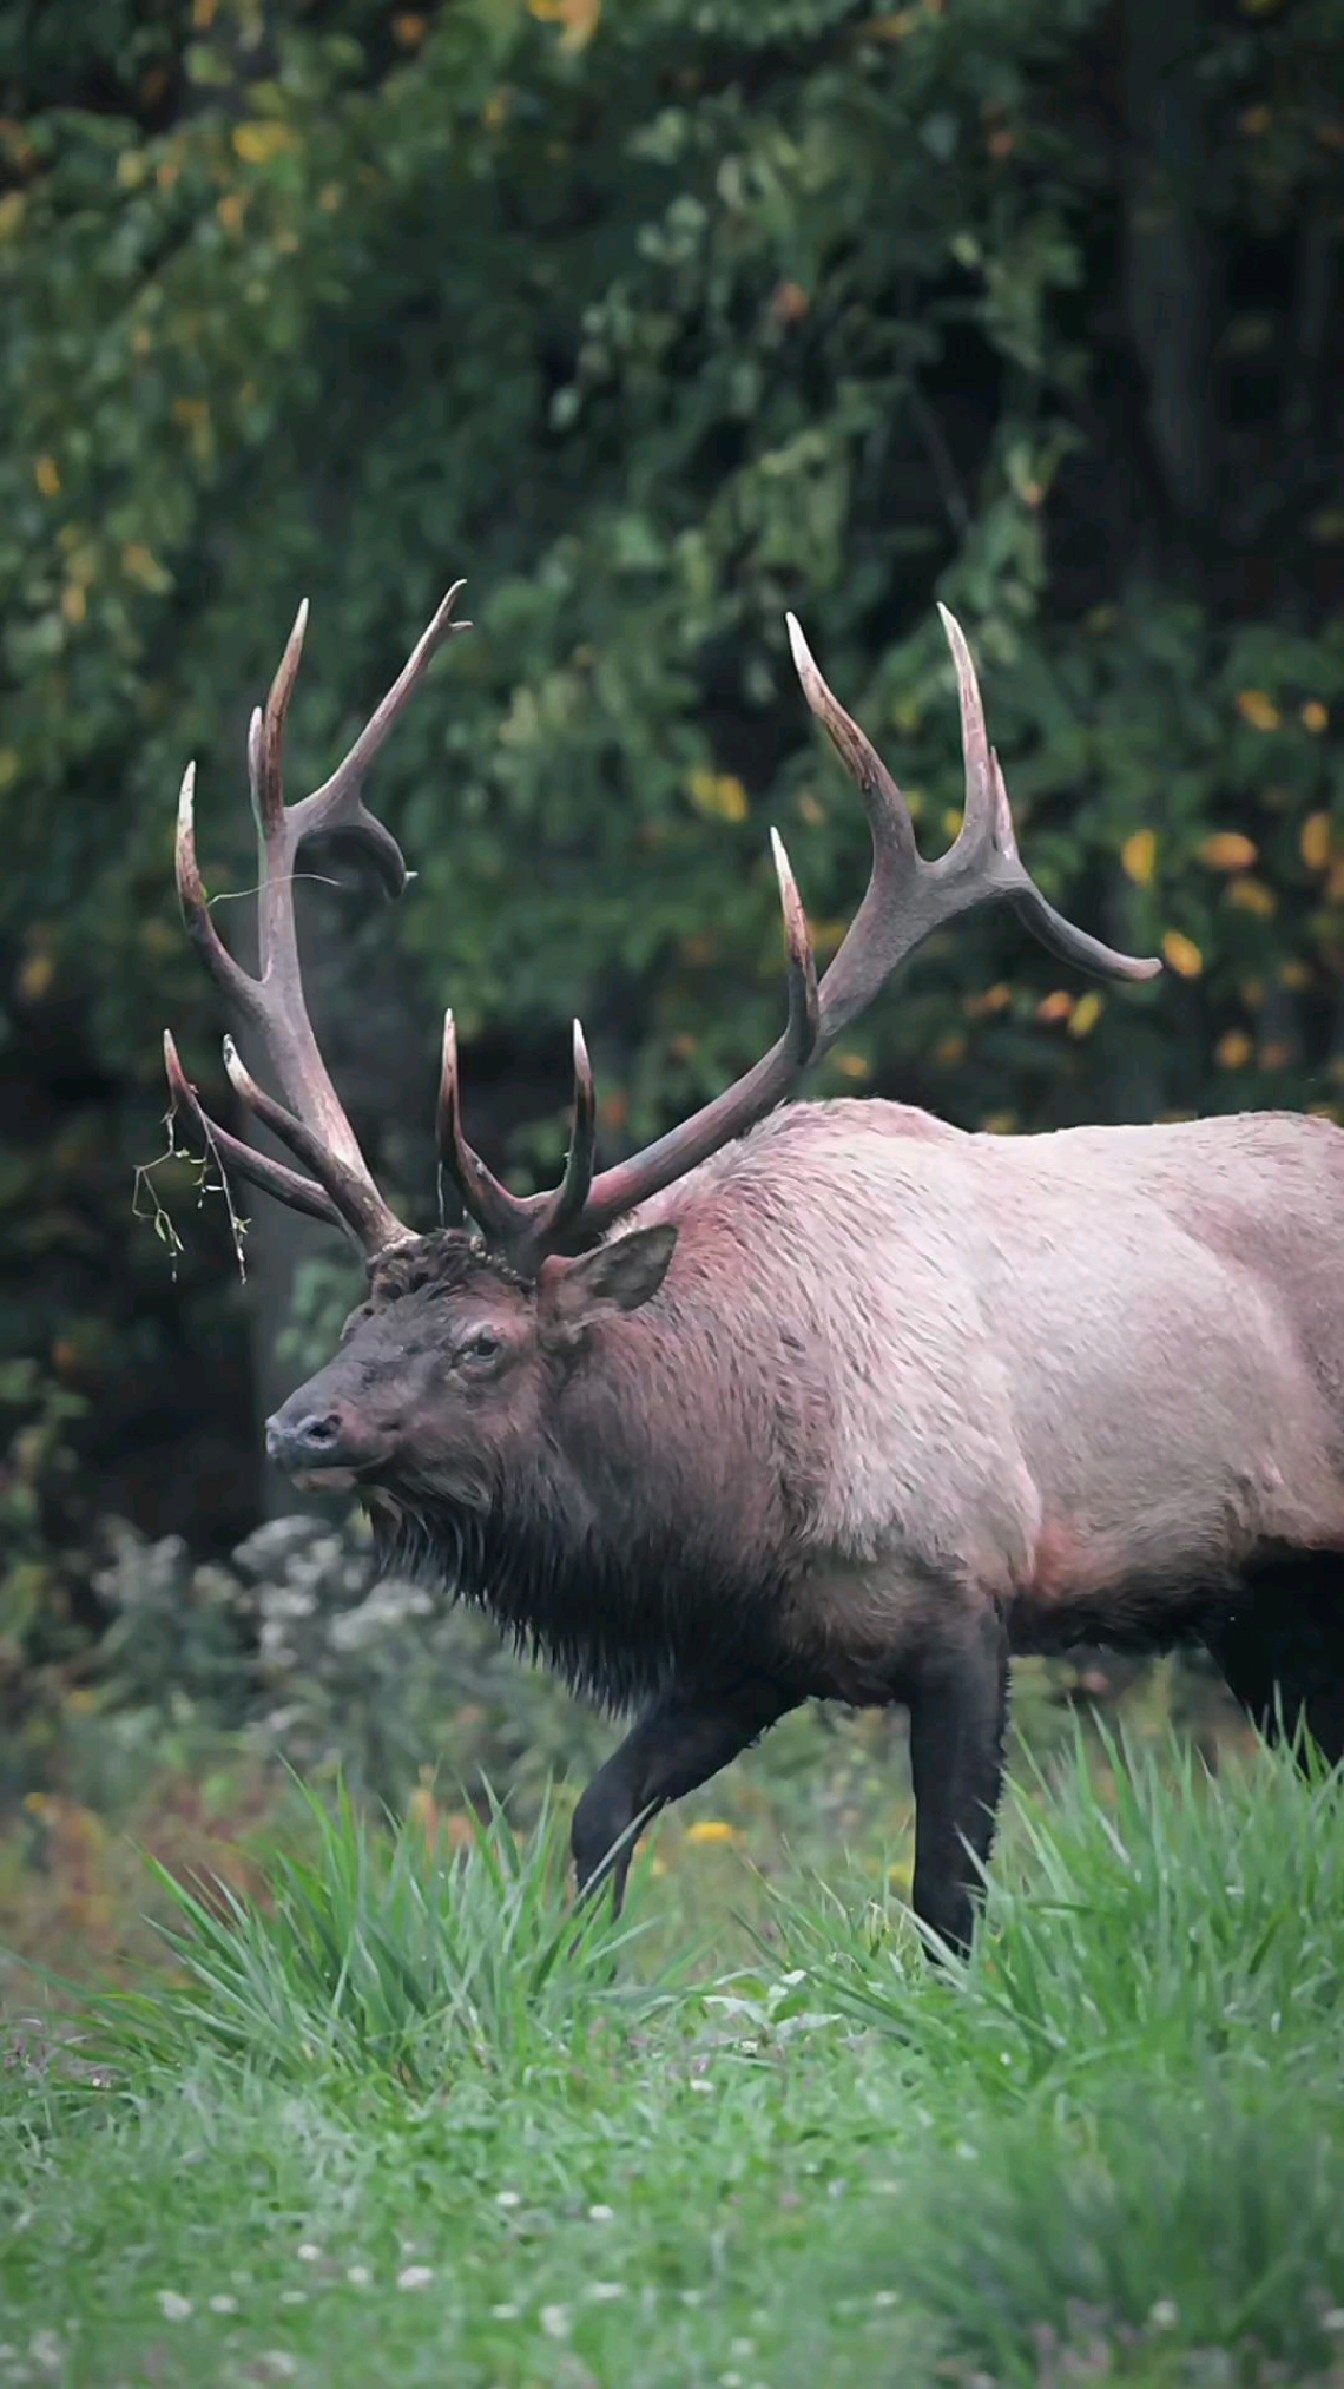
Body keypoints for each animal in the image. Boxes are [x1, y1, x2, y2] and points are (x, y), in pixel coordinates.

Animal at [165, 582, 1344, 1958]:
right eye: (362, 1315)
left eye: (482, 1343)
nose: (298, 1426)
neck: (745, 1473)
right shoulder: (756, 1643)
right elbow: (599, 1811)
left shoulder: (968, 1595)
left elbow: (947, 1905)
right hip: (1271, 1597)